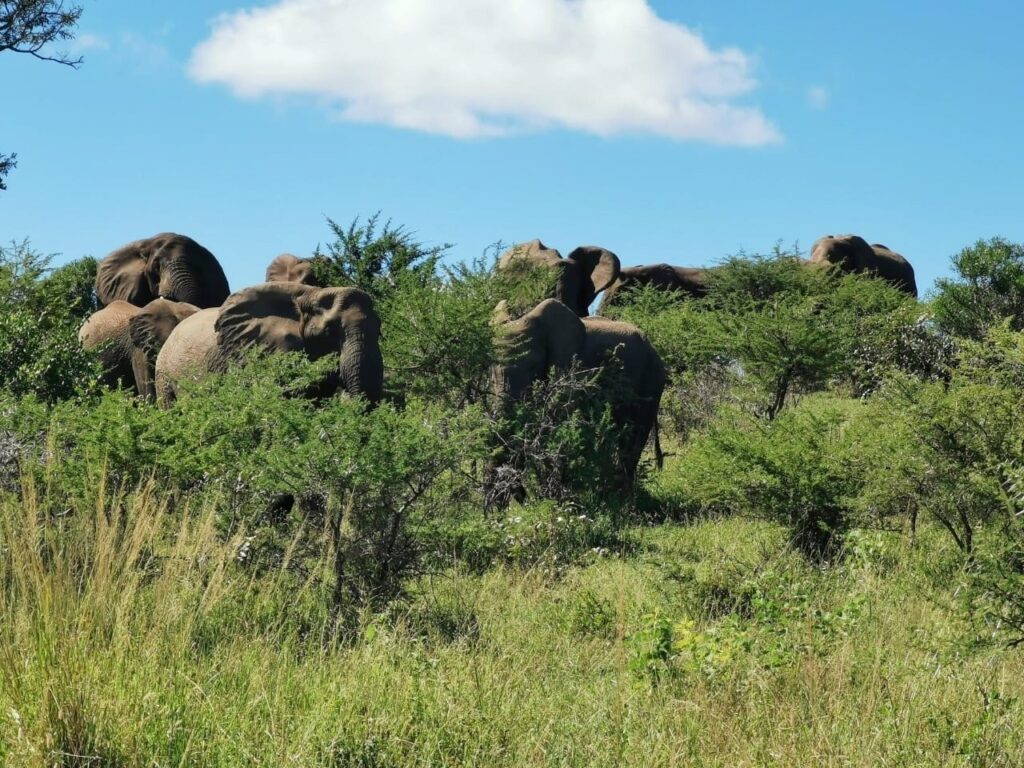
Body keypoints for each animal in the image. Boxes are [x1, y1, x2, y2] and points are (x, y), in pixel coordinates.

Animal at [491, 296, 667, 495]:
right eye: (492, 370)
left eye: (533, 367)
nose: (523, 495)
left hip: (651, 380)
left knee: (634, 436)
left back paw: (620, 495)